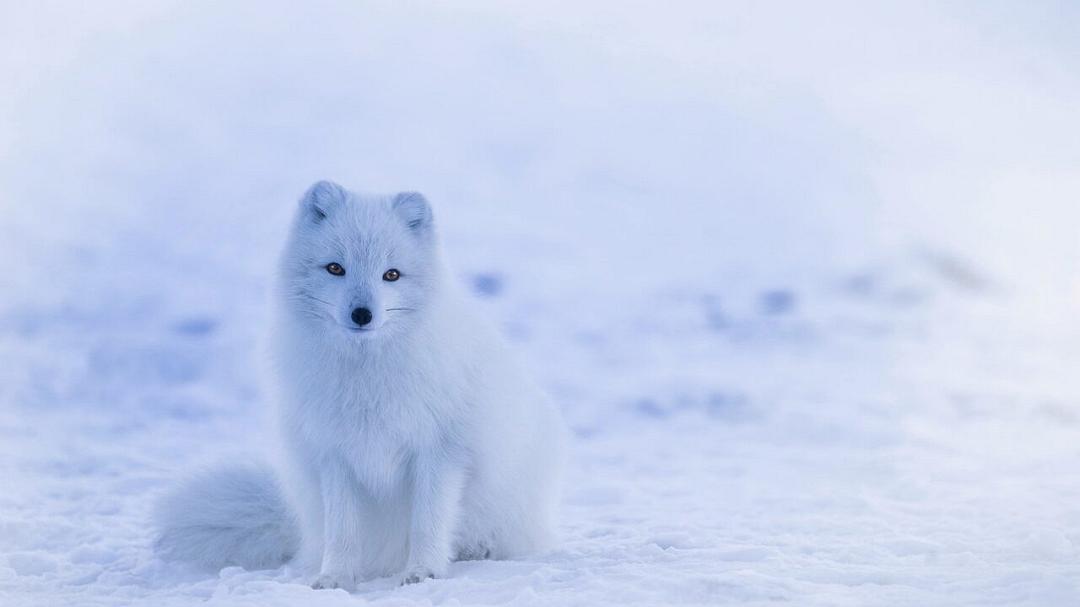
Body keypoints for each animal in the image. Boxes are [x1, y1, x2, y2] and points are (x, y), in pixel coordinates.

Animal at [157, 179, 574, 587]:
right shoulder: (334, 454)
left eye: (391, 274)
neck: (366, 374)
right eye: (335, 268)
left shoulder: (440, 451)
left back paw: (477, 551)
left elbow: (428, 522)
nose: (362, 314)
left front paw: (424, 572)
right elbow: (342, 530)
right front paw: (336, 578)